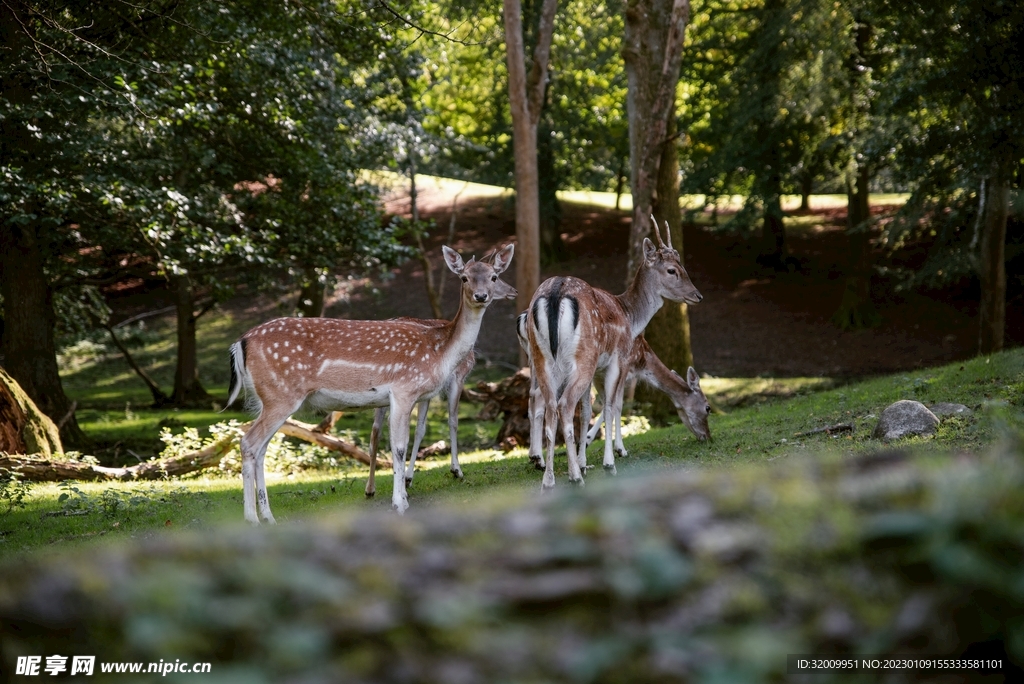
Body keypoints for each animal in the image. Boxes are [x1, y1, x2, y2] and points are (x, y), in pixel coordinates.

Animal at [227, 243, 515, 522]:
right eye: (464, 277)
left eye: (494, 276)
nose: (481, 296)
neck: (439, 351)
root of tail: (240, 342)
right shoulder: (403, 390)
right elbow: (399, 446)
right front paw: (400, 503)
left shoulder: (413, 396)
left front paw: (402, 496)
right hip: (280, 395)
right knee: (249, 443)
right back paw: (252, 519)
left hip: (270, 399)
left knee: (261, 449)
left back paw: (268, 517)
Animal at [523, 217, 701, 488]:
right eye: (672, 270)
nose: (697, 295)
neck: (629, 316)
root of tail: (555, 293)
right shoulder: (619, 359)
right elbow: (611, 405)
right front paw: (610, 462)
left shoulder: (598, 367)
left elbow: (588, 410)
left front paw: (585, 462)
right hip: (583, 357)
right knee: (564, 405)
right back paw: (574, 477)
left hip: (543, 359)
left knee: (549, 405)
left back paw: (549, 479)